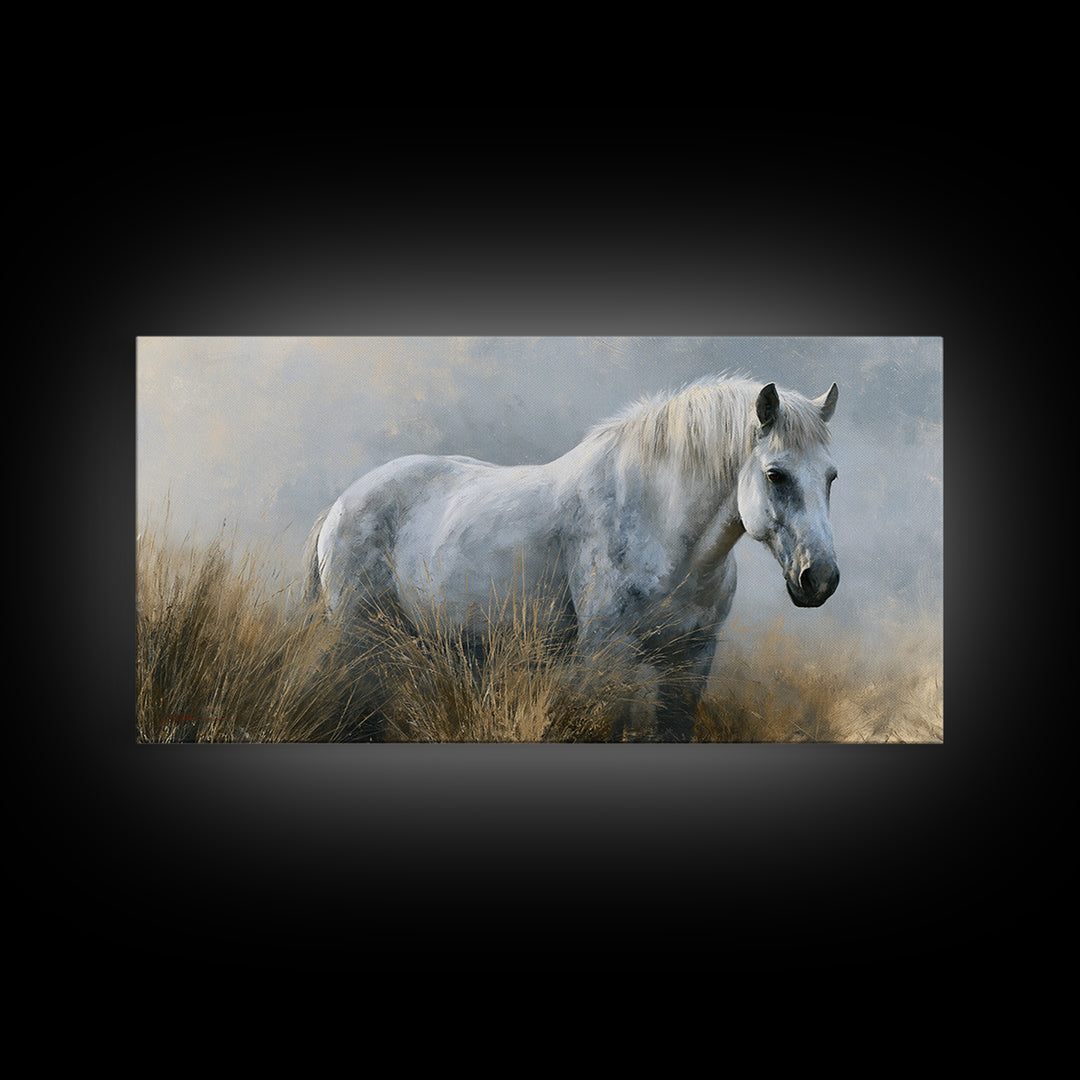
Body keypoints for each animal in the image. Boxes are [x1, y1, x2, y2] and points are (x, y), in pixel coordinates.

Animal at [303, 375, 840, 741]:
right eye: (775, 474)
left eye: (831, 476)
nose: (821, 578)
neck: (660, 526)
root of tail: (339, 506)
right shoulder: (608, 653)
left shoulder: (691, 660)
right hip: (360, 638)